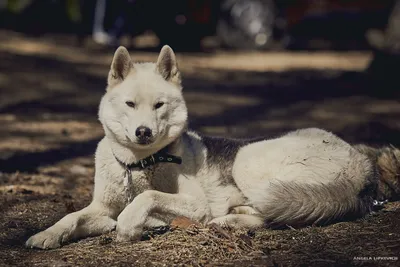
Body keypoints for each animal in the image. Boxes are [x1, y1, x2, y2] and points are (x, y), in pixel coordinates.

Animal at [25, 45, 400, 249]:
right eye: (130, 104)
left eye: (159, 105)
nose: (143, 132)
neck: (141, 165)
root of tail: (362, 167)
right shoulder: (101, 206)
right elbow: (73, 216)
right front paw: (48, 234)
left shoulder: (195, 203)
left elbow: (146, 200)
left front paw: (132, 223)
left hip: (248, 159)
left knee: (273, 213)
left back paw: (228, 220)